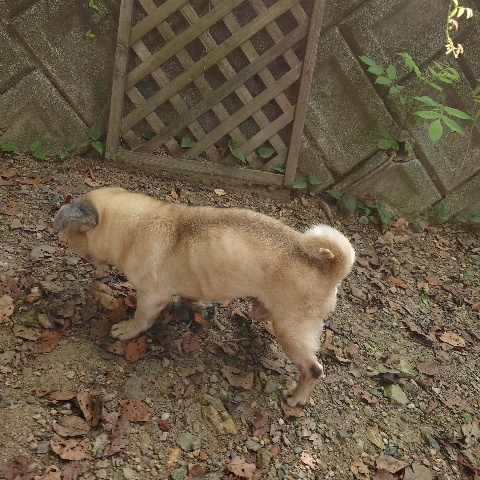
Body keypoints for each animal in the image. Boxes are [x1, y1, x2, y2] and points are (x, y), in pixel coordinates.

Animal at [53, 187, 355, 407]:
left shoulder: (150, 297)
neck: (134, 226)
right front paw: (195, 304)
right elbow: (189, 295)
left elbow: (140, 320)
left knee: (312, 369)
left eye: (71, 233)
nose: (65, 241)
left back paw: (296, 398)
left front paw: (126, 330)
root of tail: (331, 270)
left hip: (291, 331)